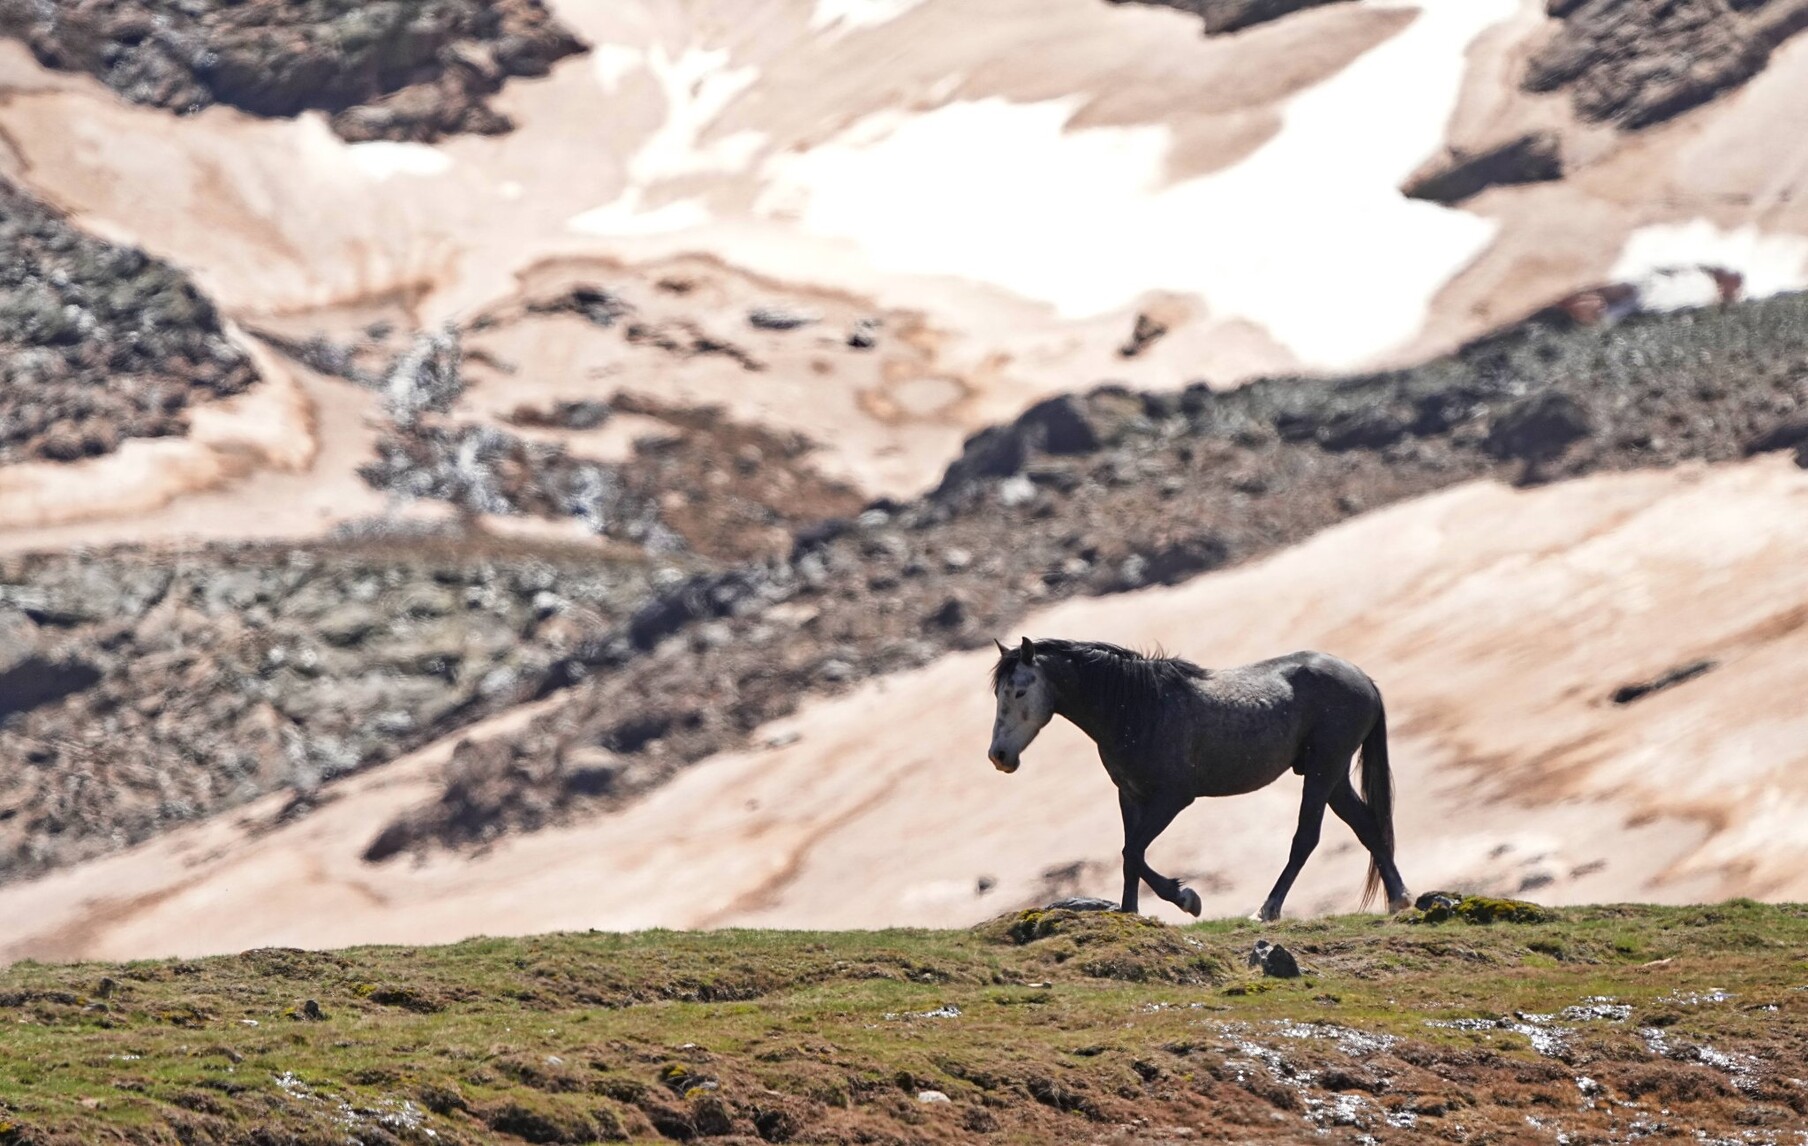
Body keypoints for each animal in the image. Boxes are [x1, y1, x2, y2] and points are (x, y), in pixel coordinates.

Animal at [987, 637, 1410, 921]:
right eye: (999, 694)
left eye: (1019, 691)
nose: (999, 757)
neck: (1138, 707)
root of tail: (1364, 680)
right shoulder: (1130, 796)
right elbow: (1130, 856)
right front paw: (1130, 913)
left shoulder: (1172, 798)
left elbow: (1132, 852)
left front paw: (1186, 898)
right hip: (1332, 776)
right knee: (1367, 826)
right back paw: (1398, 899)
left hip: (1324, 770)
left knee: (1306, 839)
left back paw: (1267, 909)